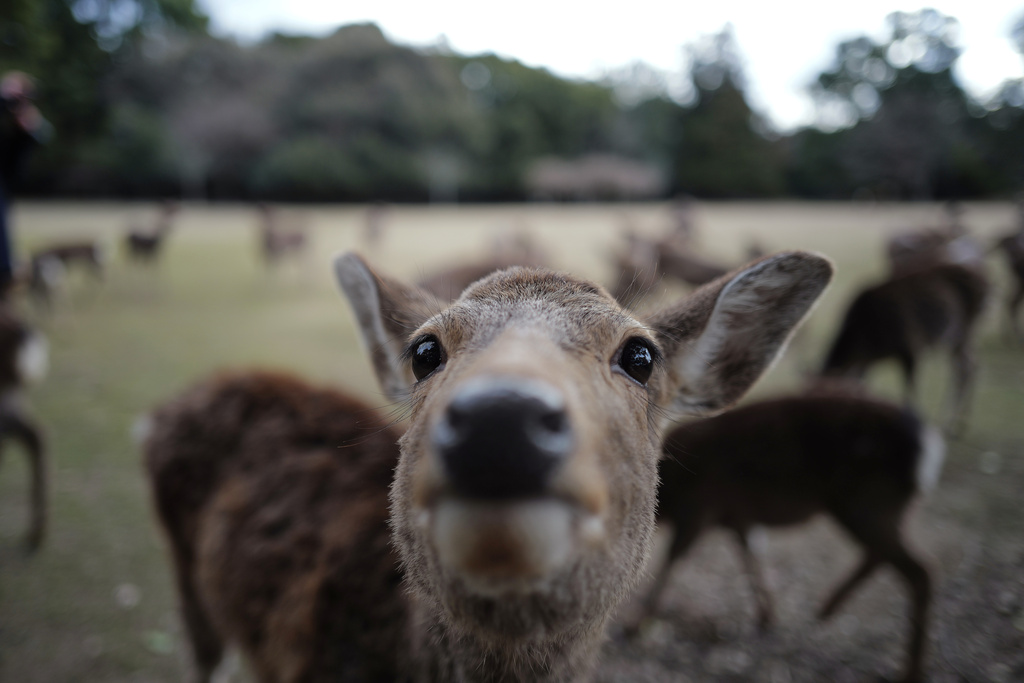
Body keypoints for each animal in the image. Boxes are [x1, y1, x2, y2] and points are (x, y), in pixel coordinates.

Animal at [633, 389, 944, 683]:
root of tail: (929, 449)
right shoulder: (736, 517)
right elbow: (750, 557)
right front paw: (767, 616)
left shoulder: (699, 506)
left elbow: (675, 557)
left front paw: (639, 620)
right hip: (877, 508)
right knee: (883, 556)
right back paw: (826, 608)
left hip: (868, 502)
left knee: (919, 569)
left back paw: (911, 671)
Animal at [822, 262, 988, 434]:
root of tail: (986, 283)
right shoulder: (868, 360)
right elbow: (863, 383)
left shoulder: (911, 346)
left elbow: (910, 390)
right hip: (957, 338)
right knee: (967, 366)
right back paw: (955, 423)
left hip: (967, 328)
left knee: (967, 367)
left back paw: (950, 424)